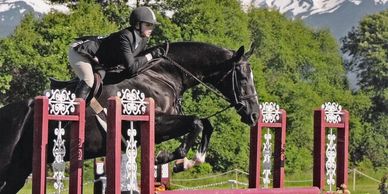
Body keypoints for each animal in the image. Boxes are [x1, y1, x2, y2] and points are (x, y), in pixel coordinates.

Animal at [0, 41, 260, 193]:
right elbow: (196, 123)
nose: (255, 115)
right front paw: (168, 158)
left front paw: (188, 162)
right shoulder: (153, 122)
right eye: (242, 78)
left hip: (19, 171)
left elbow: (206, 123)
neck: (161, 75)